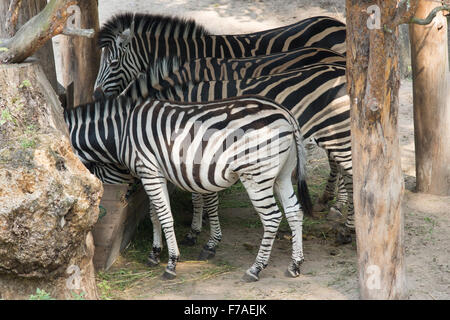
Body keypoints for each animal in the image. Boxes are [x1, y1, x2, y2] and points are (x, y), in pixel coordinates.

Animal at [63, 94, 312, 282]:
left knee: (272, 217)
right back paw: (295, 264)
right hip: (281, 175)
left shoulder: (149, 171)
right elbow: (155, 214)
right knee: (294, 211)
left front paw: (172, 263)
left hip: (256, 175)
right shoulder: (157, 174)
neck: (121, 132)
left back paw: (256, 268)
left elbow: (165, 216)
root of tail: (286, 113)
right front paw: (155, 253)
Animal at [120, 58, 356, 242]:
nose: (124, 198)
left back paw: (347, 229)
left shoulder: (195, 152)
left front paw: (195, 230)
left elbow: (197, 194)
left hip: (341, 138)